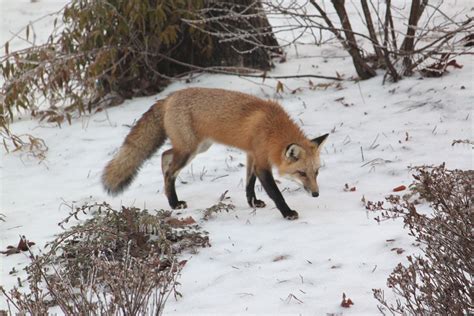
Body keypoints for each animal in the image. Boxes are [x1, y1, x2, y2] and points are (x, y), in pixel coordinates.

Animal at [102, 87, 328, 218]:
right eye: (301, 173)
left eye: (316, 172)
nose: (316, 194)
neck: (272, 129)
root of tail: (169, 96)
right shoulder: (262, 162)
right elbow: (275, 192)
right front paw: (287, 212)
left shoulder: (252, 154)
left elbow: (249, 183)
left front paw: (252, 202)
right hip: (189, 150)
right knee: (169, 169)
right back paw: (174, 203)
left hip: (198, 147)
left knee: (165, 155)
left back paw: (172, 199)